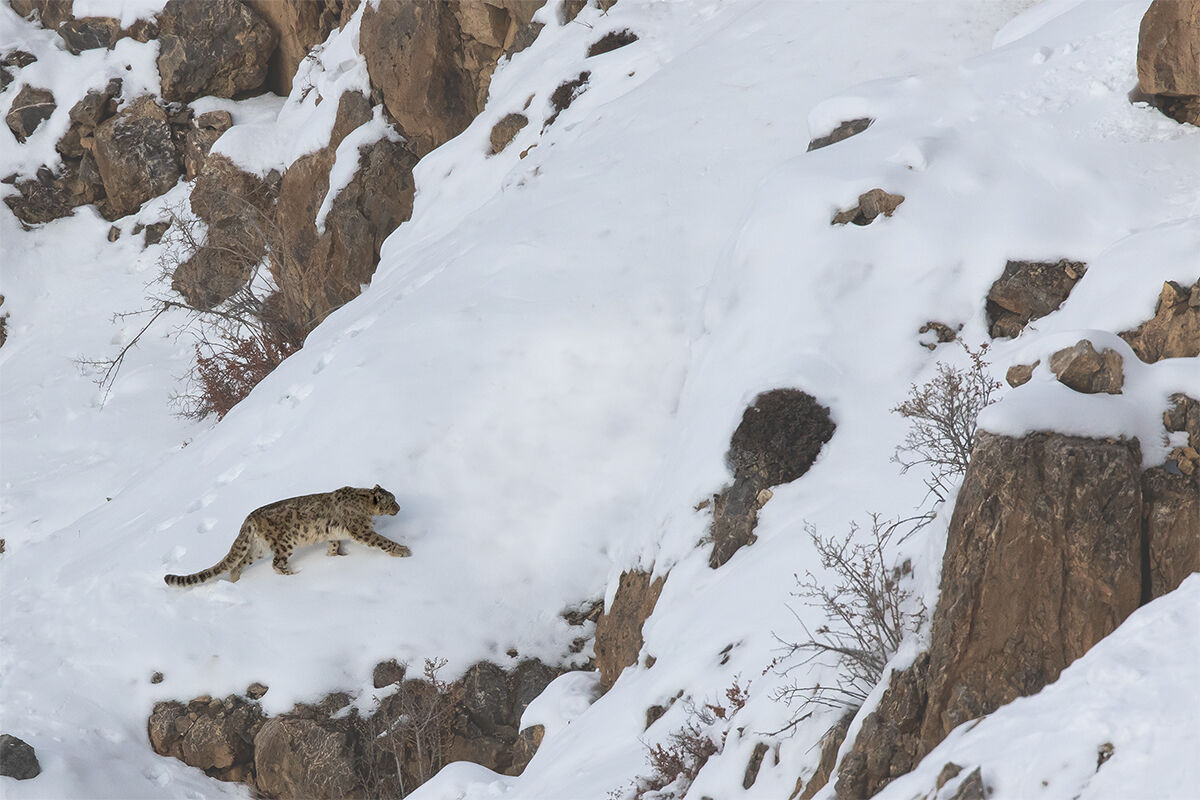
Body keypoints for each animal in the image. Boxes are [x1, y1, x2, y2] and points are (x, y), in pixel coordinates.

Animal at [164, 484, 409, 586]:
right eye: (391, 500)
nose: (399, 507)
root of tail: (249, 518)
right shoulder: (362, 530)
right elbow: (381, 541)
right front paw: (403, 550)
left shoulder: (334, 534)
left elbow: (333, 544)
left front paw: (335, 558)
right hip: (285, 542)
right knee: (276, 563)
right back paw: (293, 575)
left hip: (258, 548)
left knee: (238, 563)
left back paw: (236, 582)